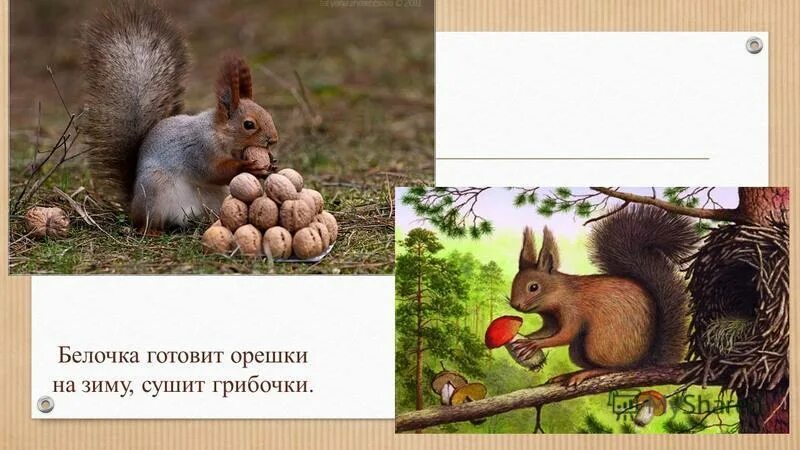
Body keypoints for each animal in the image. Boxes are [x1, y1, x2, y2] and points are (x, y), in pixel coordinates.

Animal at [81, 0, 278, 232]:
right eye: (248, 124)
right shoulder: (199, 150)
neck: (221, 135)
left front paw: (271, 164)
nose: (273, 140)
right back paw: (151, 231)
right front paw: (247, 166)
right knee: (146, 222)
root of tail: (133, 204)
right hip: (155, 191)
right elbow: (214, 172)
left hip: (214, 197)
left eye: (267, 113)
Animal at [508, 204, 696, 386]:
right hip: (578, 351)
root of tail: (642, 361)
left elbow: (565, 334)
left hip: (599, 344)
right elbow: (547, 331)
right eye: (514, 282)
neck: (559, 292)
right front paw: (525, 337)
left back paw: (586, 374)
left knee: (615, 368)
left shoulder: (573, 311)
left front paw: (535, 343)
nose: (515, 305)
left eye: (534, 287)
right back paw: (569, 375)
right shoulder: (551, 320)